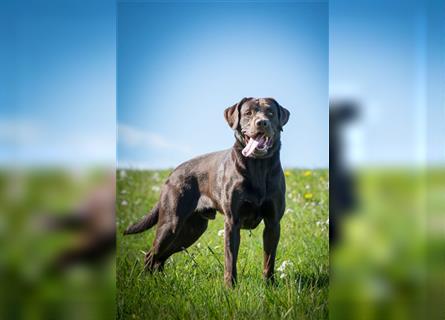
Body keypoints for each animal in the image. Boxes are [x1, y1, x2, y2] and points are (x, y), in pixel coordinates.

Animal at [123, 97, 290, 288]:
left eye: (270, 112)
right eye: (248, 113)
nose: (262, 122)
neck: (258, 166)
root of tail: (172, 173)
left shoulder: (272, 223)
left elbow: (269, 260)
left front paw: (269, 286)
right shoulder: (232, 222)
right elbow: (230, 260)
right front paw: (230, 288)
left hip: (191, 230)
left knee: (160, 258)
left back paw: (159, 282)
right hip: (171, 224)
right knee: (151, 255)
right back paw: (146, 282)